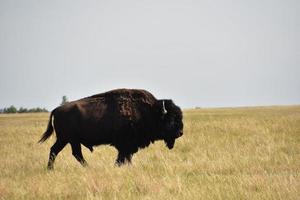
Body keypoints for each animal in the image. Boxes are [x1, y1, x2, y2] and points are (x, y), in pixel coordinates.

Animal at [38, 89, 184, 169]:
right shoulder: (125, 145)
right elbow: (123, 157)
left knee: (62, 151)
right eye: (171, 119)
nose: (180, 133)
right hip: (68, 139)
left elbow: (126, 158)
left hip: (67, 140)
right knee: (68, 153)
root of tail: (56, 109)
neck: (150, 112)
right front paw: (118, 166)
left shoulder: (128, 146)